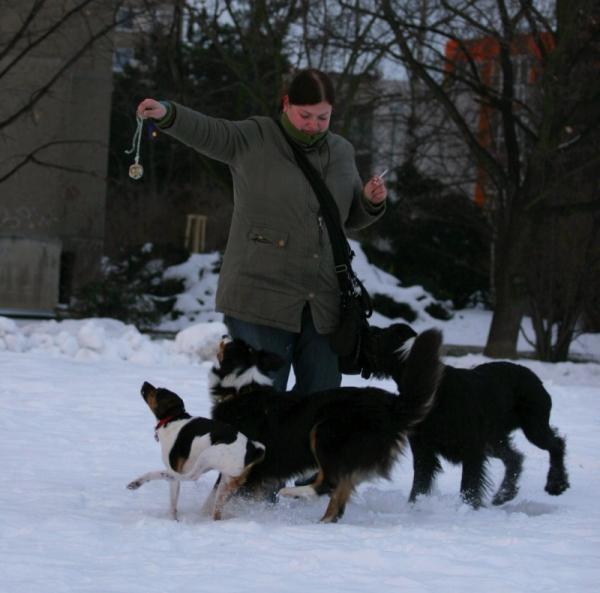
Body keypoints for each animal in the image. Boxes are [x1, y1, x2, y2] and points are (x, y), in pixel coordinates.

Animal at [127, 381, 265, 520]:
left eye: (158, 391)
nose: (145, 383)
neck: (172, 419)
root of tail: (251, 449)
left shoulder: (175, 469)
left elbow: (173, 501)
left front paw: (173, 520)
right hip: (225, 482)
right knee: (217, 512)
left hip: (206, 456)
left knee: (187, 476)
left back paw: (141, 480)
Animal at [207, 331, 443, 523]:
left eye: (232, 345)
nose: (224, 335)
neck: (243, 388)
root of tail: (390, 405)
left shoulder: (245, 463)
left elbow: (220, 494)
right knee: (338, 497)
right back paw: (322, 521)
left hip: (325, 431)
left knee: (328, 483)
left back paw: (292, 493)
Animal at [363, 323, 570, 508]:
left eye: (378, 337)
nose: (368, 328)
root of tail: (534, 378)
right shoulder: (423, 450)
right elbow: (419, 486)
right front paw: (414, 509)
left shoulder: (472, 449)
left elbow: (468, 487)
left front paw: (468, 510)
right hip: (495, 439)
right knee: (515, 458)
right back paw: (505, 494)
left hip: (533, 428)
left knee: (556, 444)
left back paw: (556, 484)